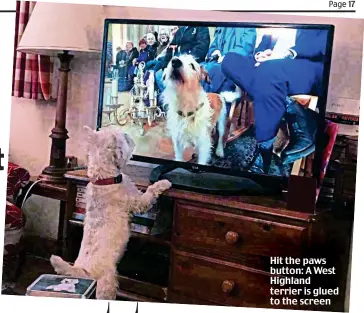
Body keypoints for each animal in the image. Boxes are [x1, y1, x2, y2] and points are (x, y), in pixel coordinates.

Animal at [49, 125, 172, 298]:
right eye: (123, 137)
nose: (130, 136)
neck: (103, 179)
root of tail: (83, 272)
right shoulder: (137, 202)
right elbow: (150, 193)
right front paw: (164, 183)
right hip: (107, 284)